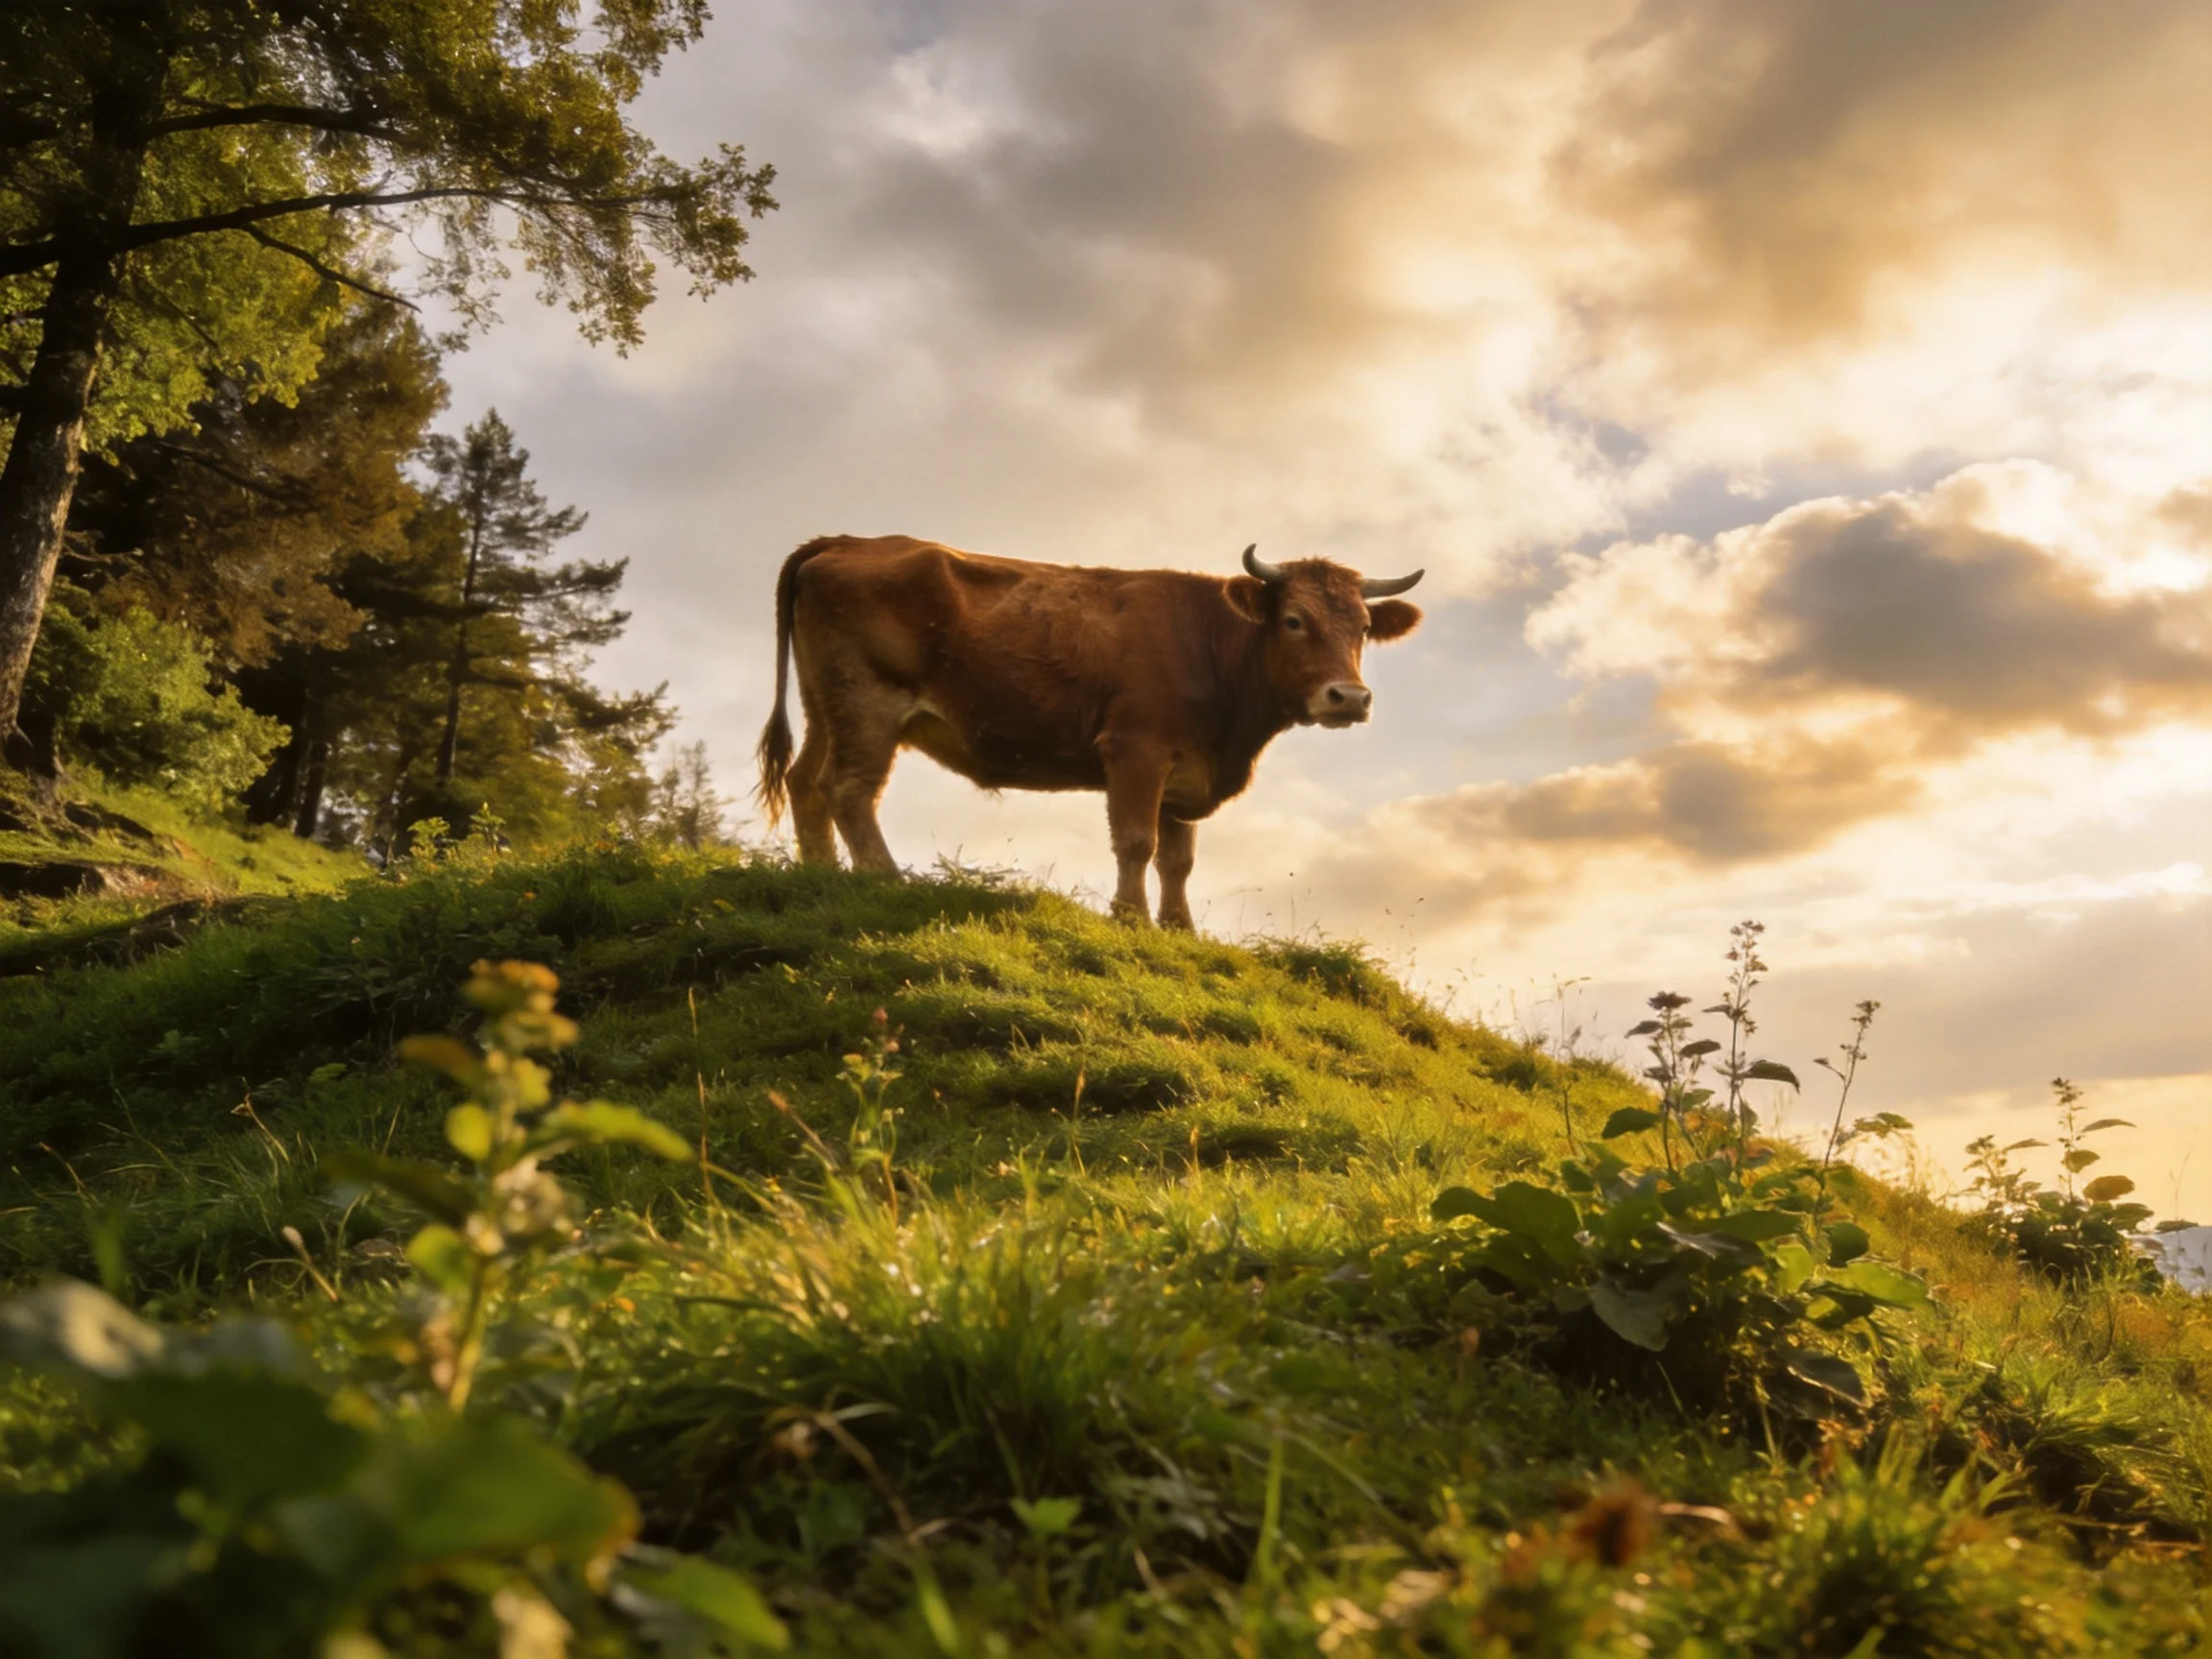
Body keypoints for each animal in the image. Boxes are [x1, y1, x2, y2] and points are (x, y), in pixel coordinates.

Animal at [754, 536, 1423, 928]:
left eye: (1364, 628)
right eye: (1293, 620)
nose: (1349, 697)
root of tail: (850, 540)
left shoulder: (1185, 773)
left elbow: (1179, 860)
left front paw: (1180, 931)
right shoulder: (1136, 749)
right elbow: (1136, 842)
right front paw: (1130, 919)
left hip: (826, 706)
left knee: (806, 782)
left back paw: (821, 873)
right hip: (868, 704)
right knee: (848, 789)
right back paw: (885, 878)